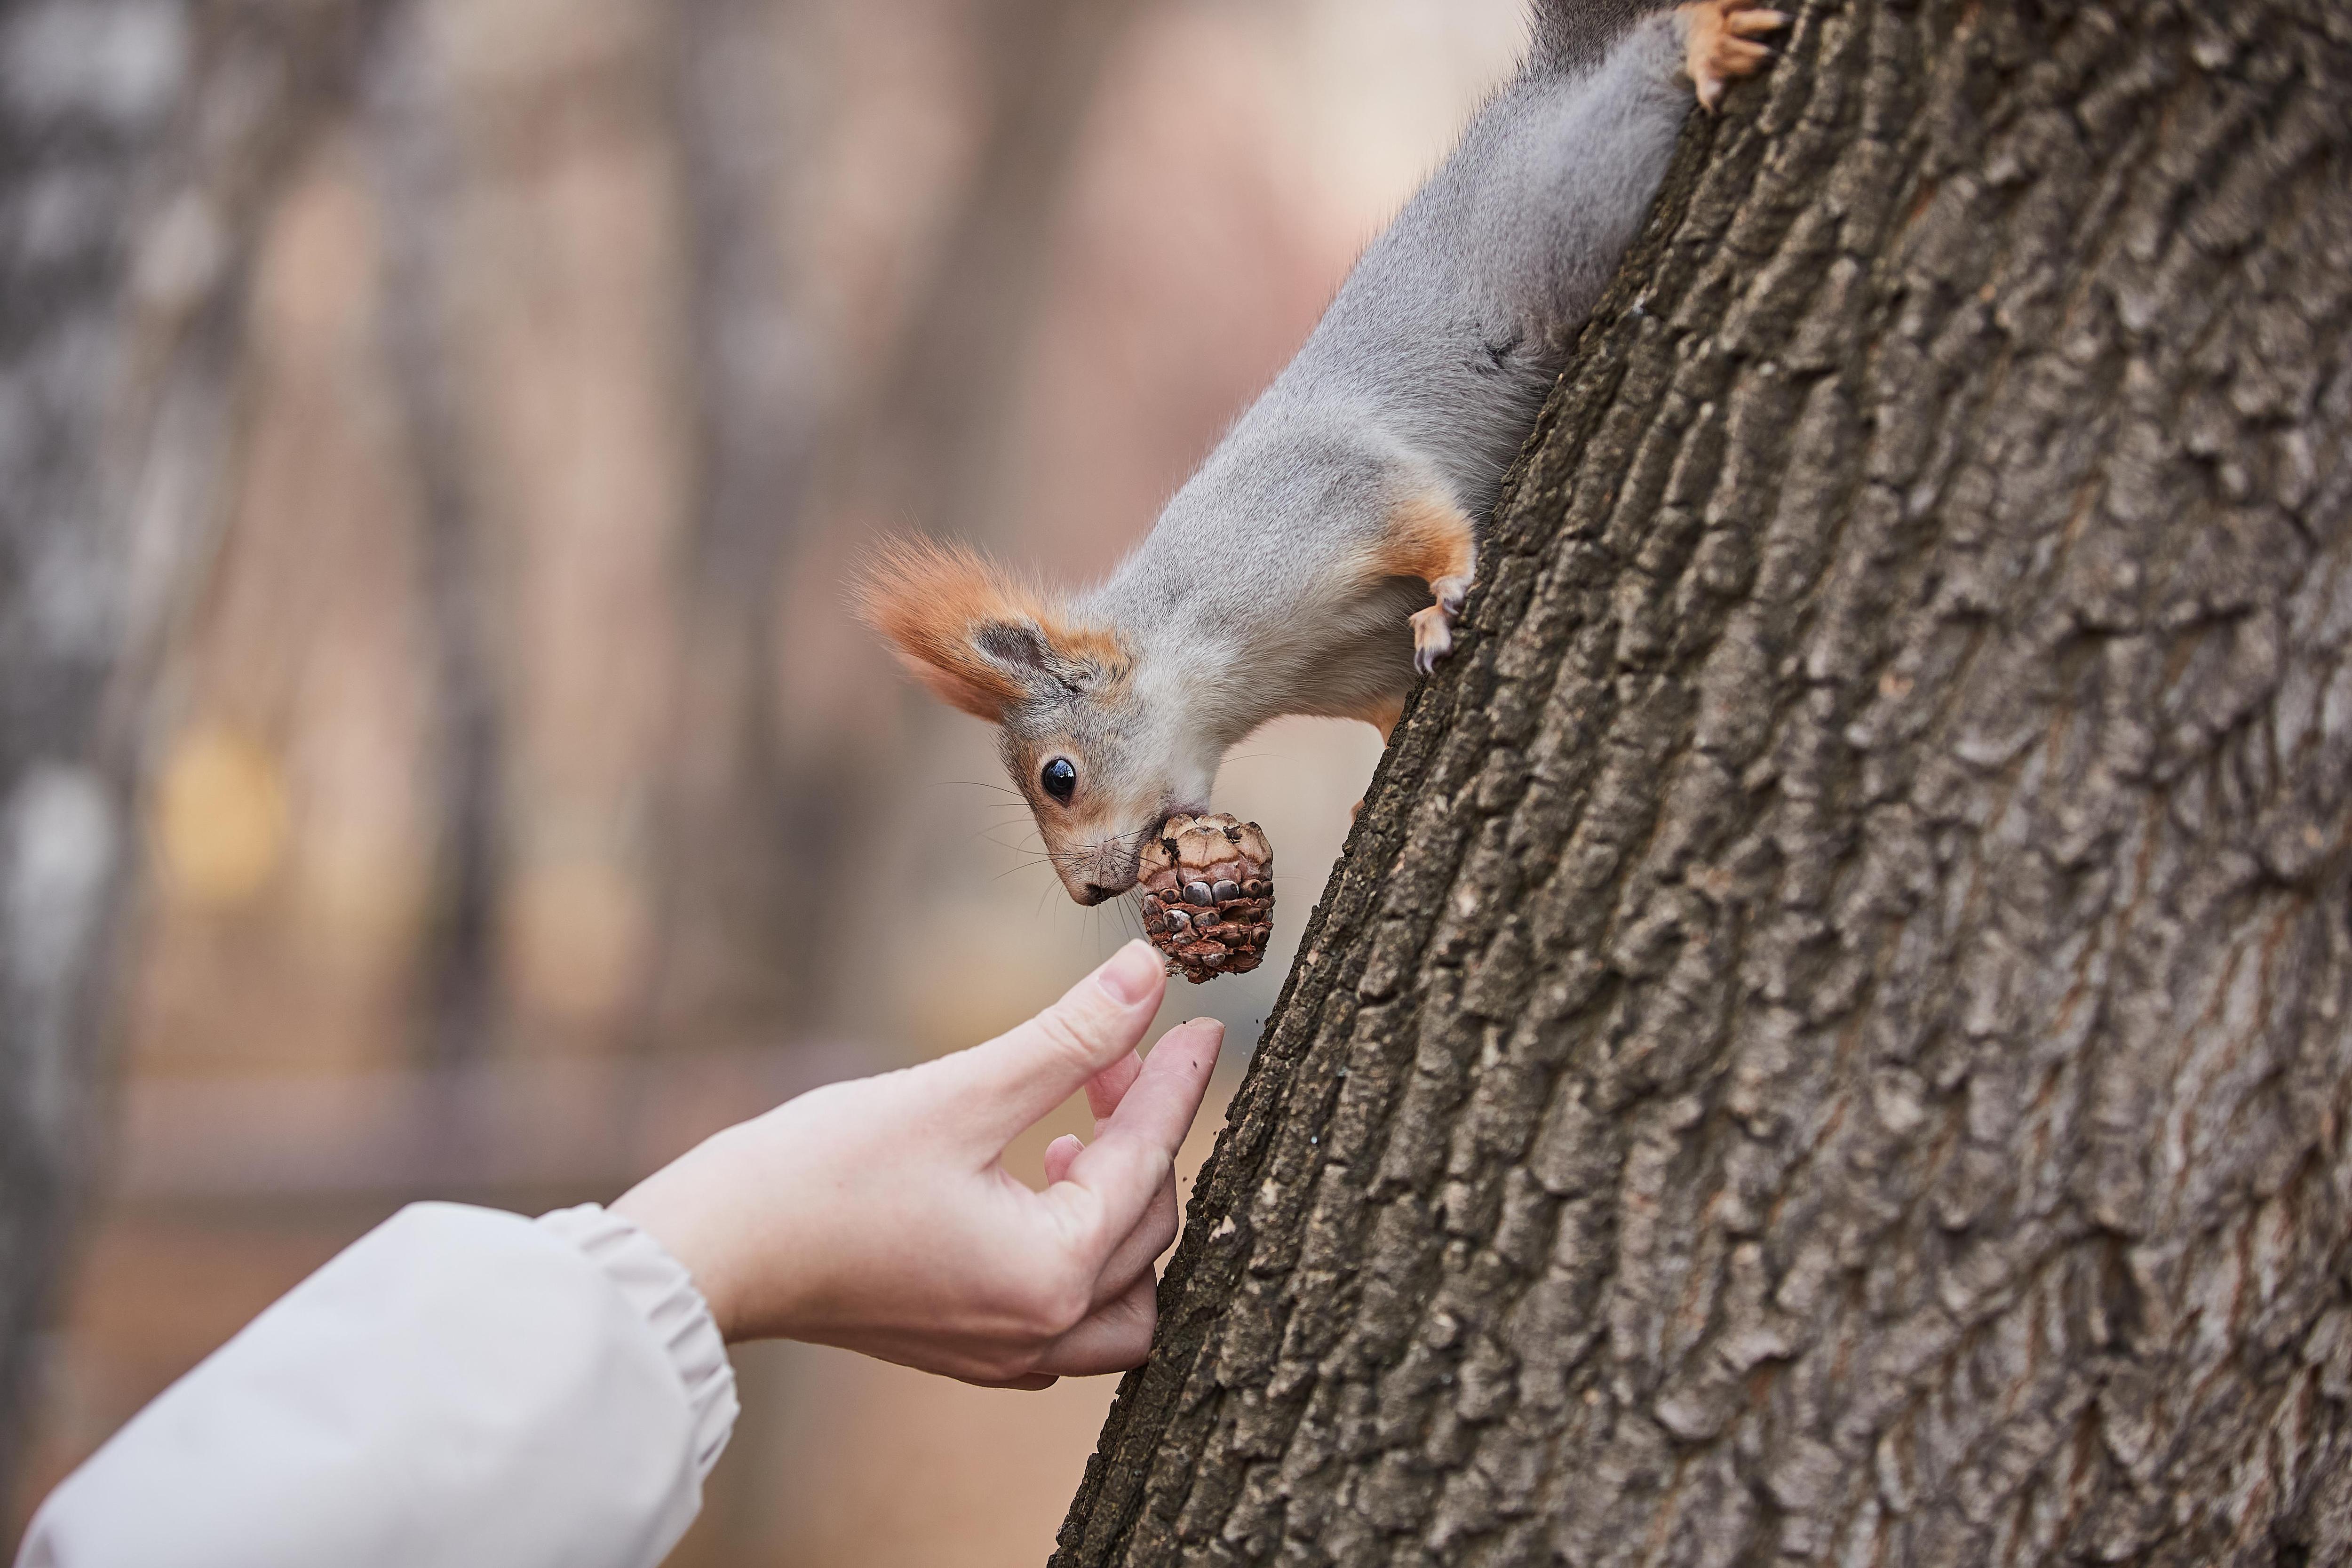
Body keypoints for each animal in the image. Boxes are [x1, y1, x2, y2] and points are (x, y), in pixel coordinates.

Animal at [866, 0, 1778, 907]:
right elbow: (1388, 704)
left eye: (1059, 776)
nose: (1085, 893)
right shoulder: (1357, 673)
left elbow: (1424, 516)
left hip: (1564, 218)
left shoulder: (1325, 493)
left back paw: (1698, 39)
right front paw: (1363, 797)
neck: (1231, 658)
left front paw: (1447, 592)